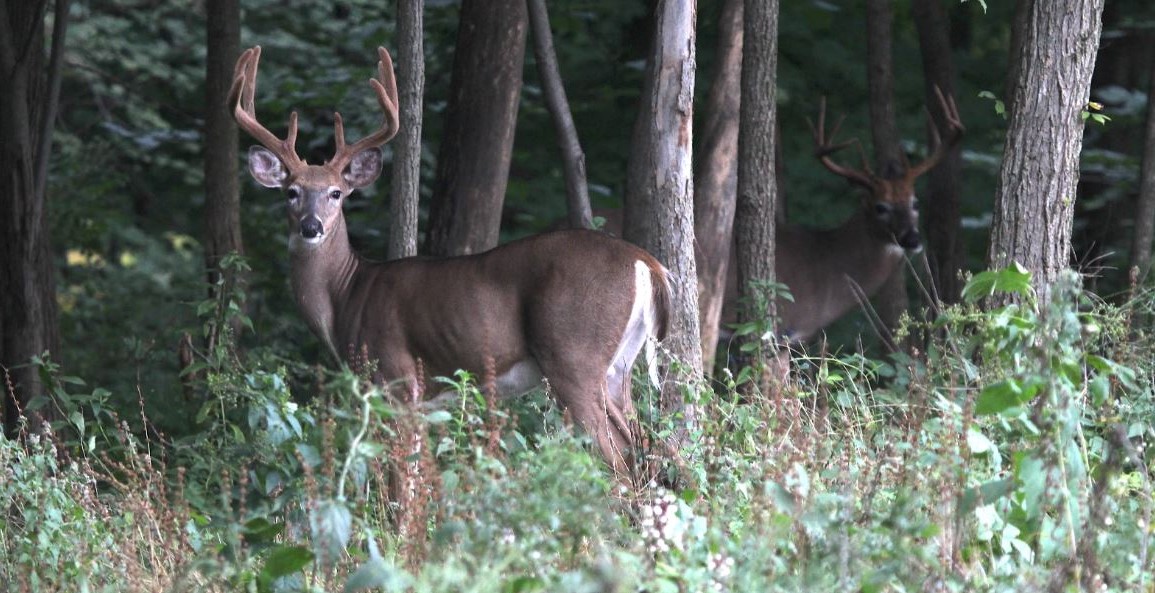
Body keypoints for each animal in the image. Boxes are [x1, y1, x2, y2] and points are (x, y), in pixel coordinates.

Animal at [228, 45, 674, 476]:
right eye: (291, 192)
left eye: (336, 192)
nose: (311, 226)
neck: (346, 297)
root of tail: (645, 263)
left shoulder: (396, 376)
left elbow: (401, 477)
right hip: (619, 367)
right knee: (651, 447)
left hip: (574, 355)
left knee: (619, 458)